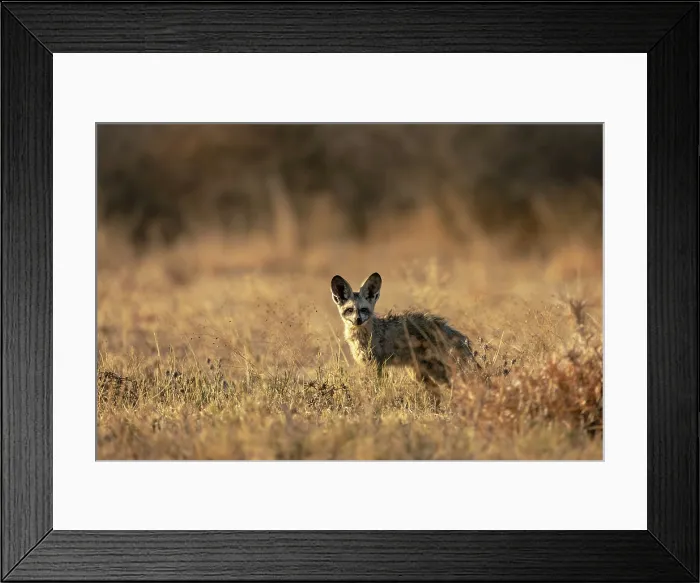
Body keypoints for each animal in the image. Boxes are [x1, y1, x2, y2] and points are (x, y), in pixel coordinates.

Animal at [330, 272, 480, 394]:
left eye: (363, 309)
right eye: (349, 310)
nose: (358, 320)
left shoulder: (377, 364)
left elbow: (376, 388)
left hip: (438, 372)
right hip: (420, 374)